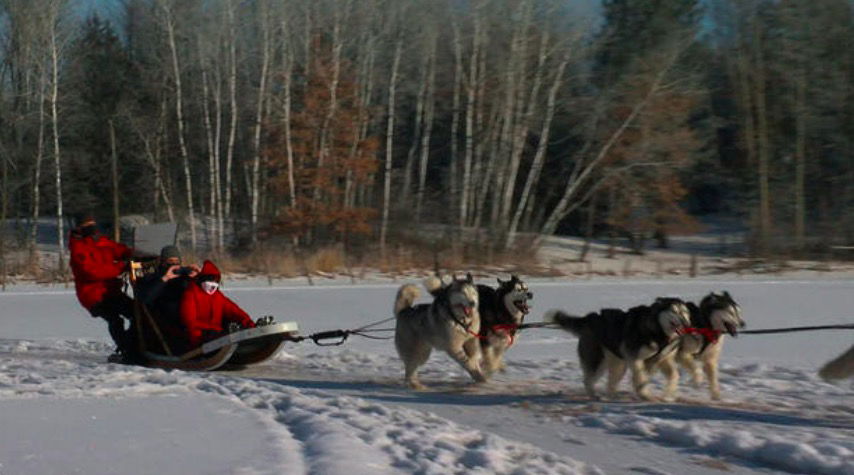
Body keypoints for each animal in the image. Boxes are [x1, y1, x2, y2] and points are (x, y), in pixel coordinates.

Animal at [548, 300, 696, 404]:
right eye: (674, 311)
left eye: (685, 312)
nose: (687, 324)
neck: (658, 331)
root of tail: (590, 318)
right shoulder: (635, 358)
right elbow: (641, 378)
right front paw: (645, 394)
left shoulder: (663, 359)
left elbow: (674, 375)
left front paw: (668, 396)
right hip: (598, 361)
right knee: (588, 380)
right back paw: (594, 395)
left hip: (618, 364)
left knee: (610, 382)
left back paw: (611, 396)